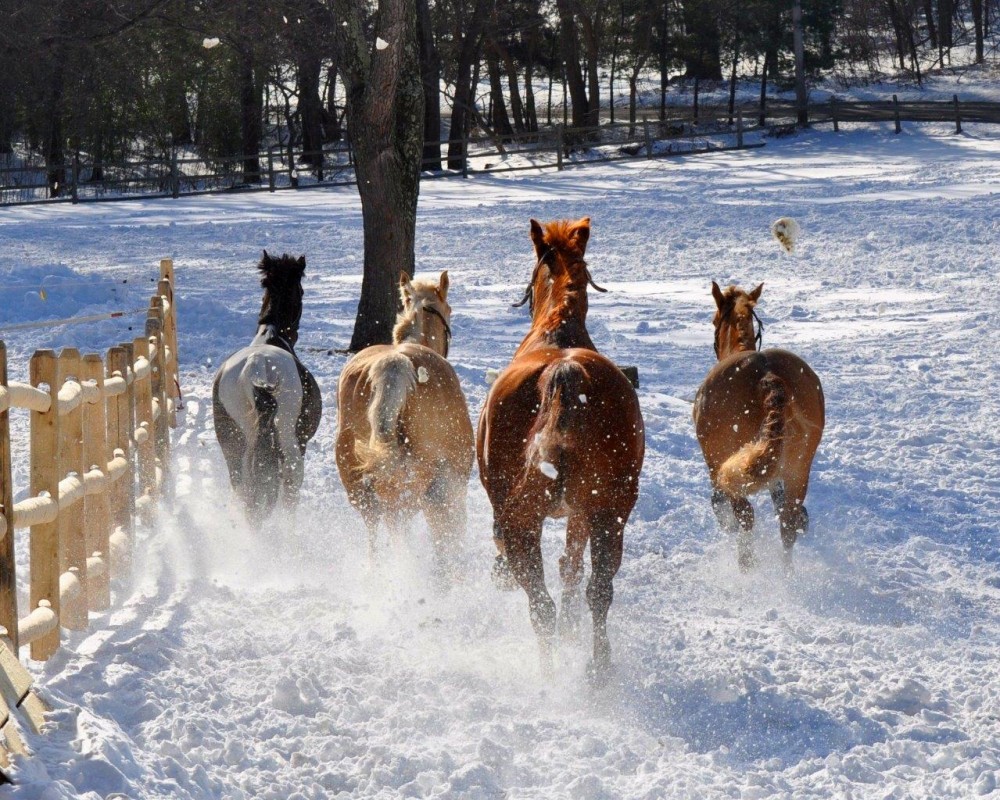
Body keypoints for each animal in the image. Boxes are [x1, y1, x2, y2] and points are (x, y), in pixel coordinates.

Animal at [213, 252, 322, 524]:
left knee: (244, 489)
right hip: (290, 444)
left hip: (235, 444)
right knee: (287, 492)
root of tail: (258, 365)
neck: (271, 336)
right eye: (301, 290)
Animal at [336, 272, 472, 580]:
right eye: (449, 310)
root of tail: (395, 362)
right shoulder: (452, 485)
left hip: (359, 480)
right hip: (426, 484)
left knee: (377, 526)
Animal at [478, 219, 648, 680]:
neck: (557, 330)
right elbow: (573, 569)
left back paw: (550, 673)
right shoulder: (583, 513)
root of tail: (564, 370)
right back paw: (597, 669)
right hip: (609, 512)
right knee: (598, 589)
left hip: (528, 522)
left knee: (542, 604)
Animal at [696, 282, 828, 568]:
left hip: (731, 468)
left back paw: (747, 567)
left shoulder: (715, 467)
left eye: (713, 319)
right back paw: (787, 573)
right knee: (788, 522)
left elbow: (721, 507)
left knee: (746, 517)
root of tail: (769, 377)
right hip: (798, 469)